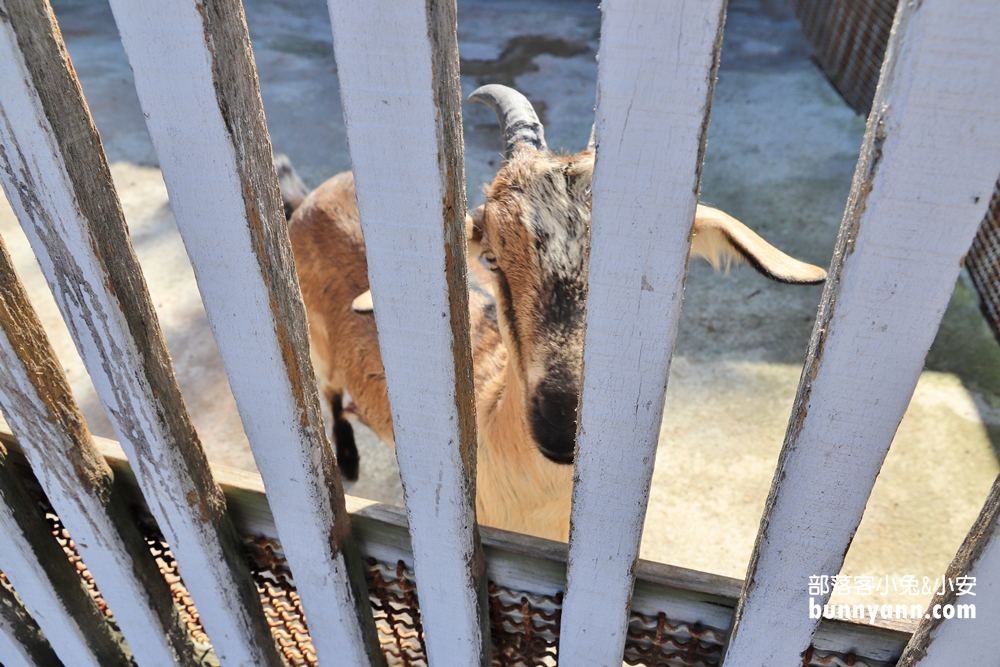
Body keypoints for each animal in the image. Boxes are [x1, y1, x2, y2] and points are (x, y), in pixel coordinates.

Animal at [284, 85, 828, 544]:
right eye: (492, 257)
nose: (564, 423)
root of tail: (312, 196)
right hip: (318, 338)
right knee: (329, 391)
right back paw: (349, 462)